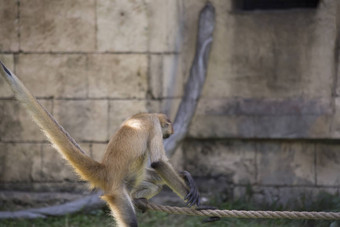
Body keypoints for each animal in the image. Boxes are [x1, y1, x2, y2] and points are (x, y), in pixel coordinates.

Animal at [0, 61, 201, 227]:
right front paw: (197, 204)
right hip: (117, 193)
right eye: (170, 129)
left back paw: (138, 199)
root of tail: (105, 171)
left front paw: (186, 175)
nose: (171, 133)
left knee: (154, 184)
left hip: (128, 184)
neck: (145, 114)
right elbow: (158, 162)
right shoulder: (153, 124)